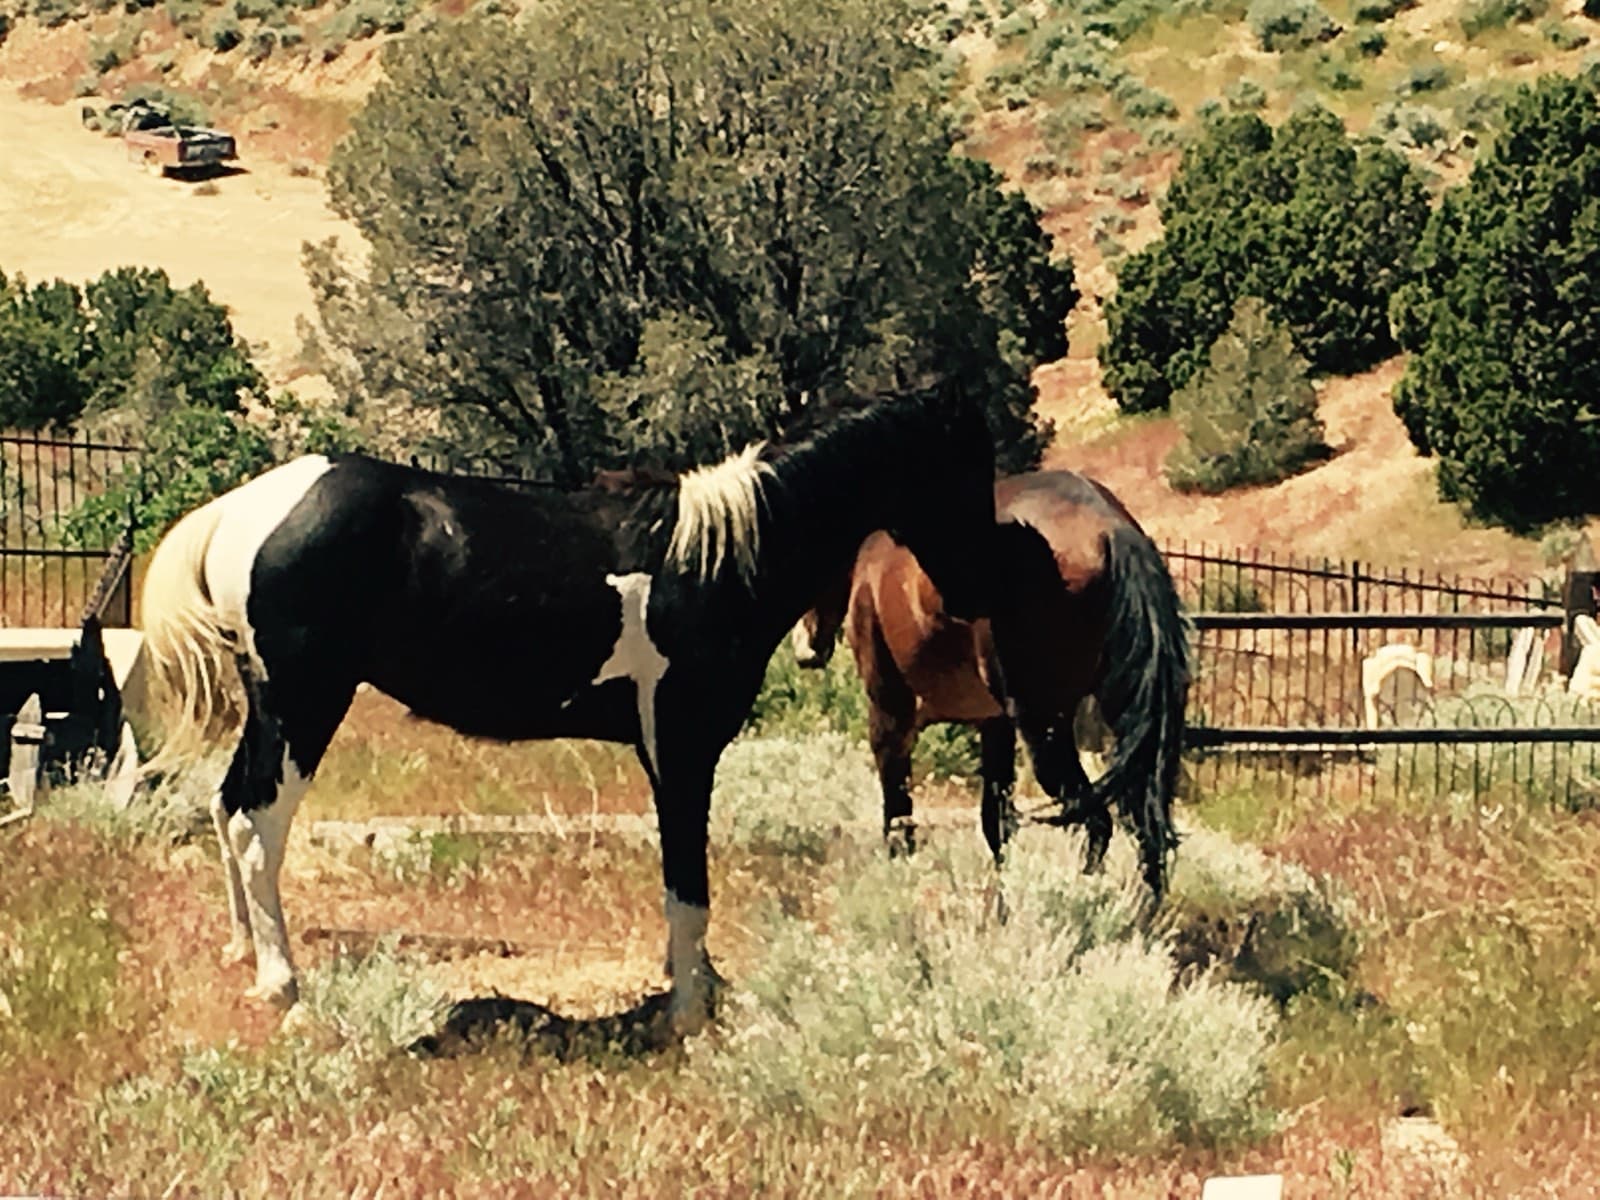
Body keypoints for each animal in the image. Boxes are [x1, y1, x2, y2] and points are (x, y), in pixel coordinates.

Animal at [137, 393, 998, 1037]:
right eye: (967, 468)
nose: (975, 587)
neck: (712, 558)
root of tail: (239, 512)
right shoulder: (681, 744)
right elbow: (687, 881)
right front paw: (690, 1007)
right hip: (305, 703)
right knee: (258, 825)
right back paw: (285, 987)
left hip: (270, 707)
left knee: (225, 807)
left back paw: (246, 957)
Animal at [793, 469, 1190, 900]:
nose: (804, 648)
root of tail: (1109, 530)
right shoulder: (994, 724)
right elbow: (995, 824)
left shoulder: (889, 715)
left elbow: (898, 819)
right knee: (1147, 836)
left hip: (1043, 728)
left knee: (1097, 821)